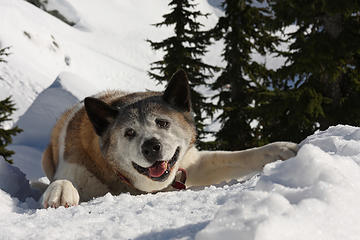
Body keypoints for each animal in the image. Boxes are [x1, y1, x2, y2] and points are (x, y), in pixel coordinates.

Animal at [40, 70, 298, 208]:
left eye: (163, 123)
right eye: (129, 132)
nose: (151, 147)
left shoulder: (190, 164)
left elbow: (234, 157)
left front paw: (278, 149)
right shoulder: (76, 163)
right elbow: (64, 179)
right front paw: (61, 190)